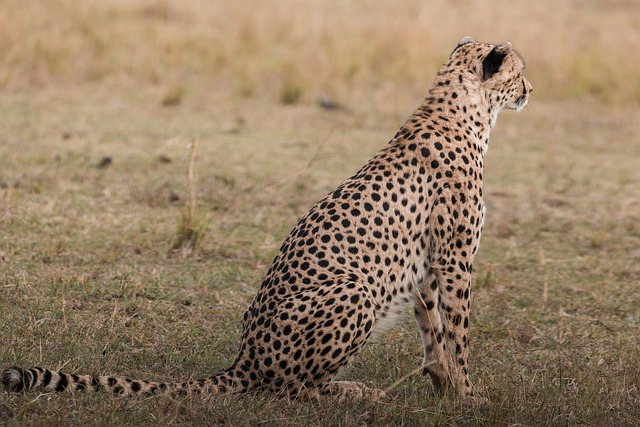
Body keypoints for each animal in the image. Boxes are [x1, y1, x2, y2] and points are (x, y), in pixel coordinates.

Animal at [1, 36, 528, 402]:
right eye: (520, 73)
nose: (530, 89)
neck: (465, 112)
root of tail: (244, 358)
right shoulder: (455, 258)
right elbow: (457, 330)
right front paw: (468, 396)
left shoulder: (428, 262)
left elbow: (433, 329)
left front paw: (444, 388)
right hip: (355, 290)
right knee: (288, 389)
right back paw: (350, 392)